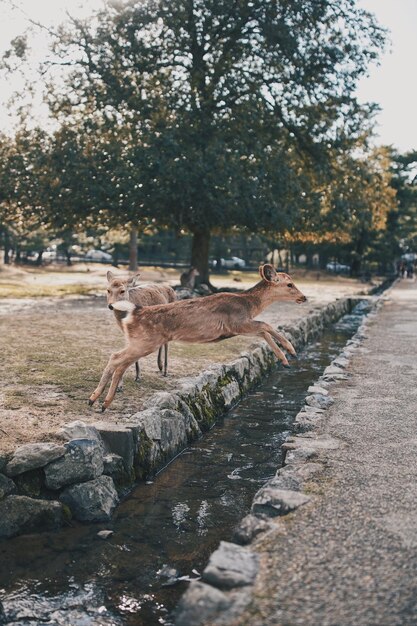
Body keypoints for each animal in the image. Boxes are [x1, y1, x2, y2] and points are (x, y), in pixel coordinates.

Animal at [91, 264, 306, 410]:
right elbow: (265, 325)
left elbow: (263, 330)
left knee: (118, 360)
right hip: (145, 341)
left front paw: (286, 359)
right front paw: (291, 352)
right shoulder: (236, 322)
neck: (248, 305)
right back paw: (102, 402)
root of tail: (134, 311)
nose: (303, 297)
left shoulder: (239, 327)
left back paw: (95, 400)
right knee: (117, 359)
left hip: (140, 341)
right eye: (289, 284)